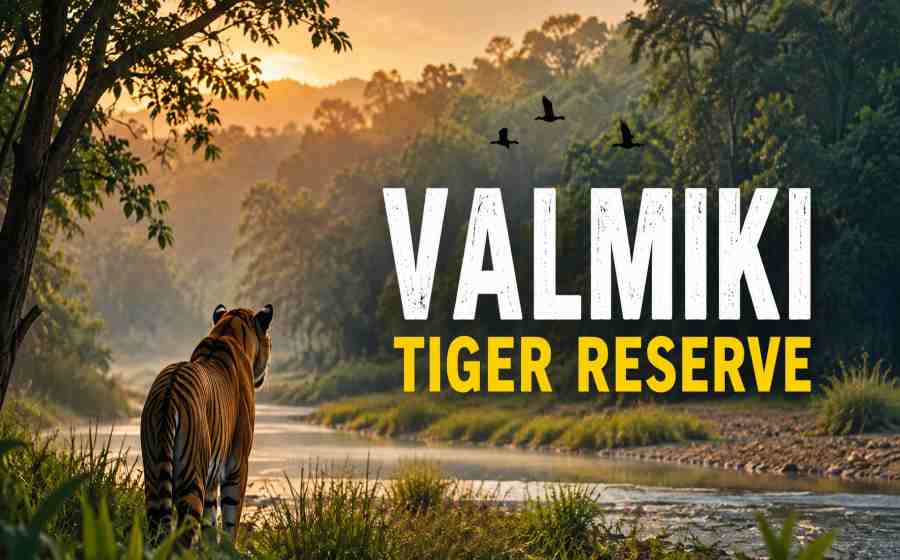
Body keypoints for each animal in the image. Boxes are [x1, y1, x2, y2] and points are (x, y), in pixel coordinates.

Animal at [140, 303, 273, 545]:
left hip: (153, 475)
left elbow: (210, 523)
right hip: (192, 479)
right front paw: (229, 548)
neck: (228, 330)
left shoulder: (213, 475)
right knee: (184, 537)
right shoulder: (237, 464)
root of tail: (168, 392)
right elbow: (231, 520)